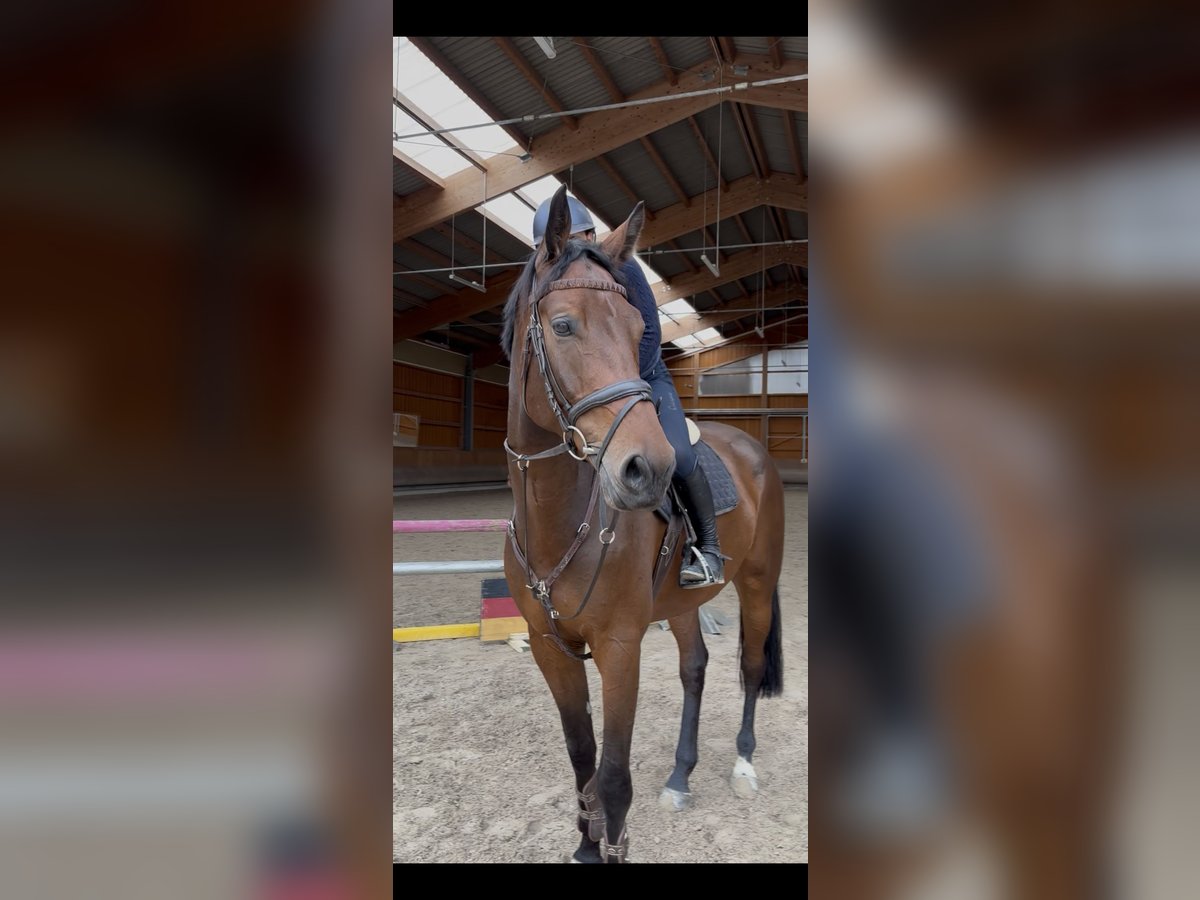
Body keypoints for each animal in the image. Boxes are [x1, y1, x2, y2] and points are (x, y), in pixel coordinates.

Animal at [499, 185, 787, 863]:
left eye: (637, 331)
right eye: (563, 325)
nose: (647, 470)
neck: (559, 520)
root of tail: (754, 447)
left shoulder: (619, 647)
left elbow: (613, 775)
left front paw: (610, 844)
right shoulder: (550, 647)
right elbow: (582, 756)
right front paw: (585, 845)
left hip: (757, 583)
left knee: (750, 665)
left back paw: (742, 766)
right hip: (680, 603)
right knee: (695, 668)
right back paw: (681, 775)